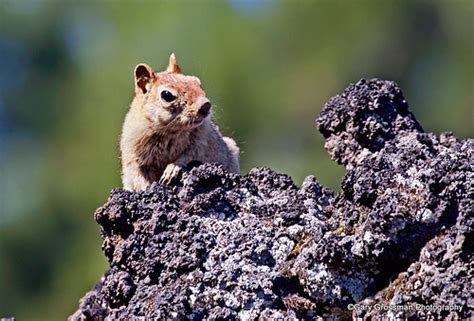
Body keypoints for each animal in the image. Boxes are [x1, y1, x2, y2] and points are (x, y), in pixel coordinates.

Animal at [120, 53, 239, 191]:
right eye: (166, 95)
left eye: (197, 82)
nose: (205, 105)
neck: (170, 131)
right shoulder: (132, 154)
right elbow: (137, 175)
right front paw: (147, 188)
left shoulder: (201, 141)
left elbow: (189, 156)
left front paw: (172, 169)